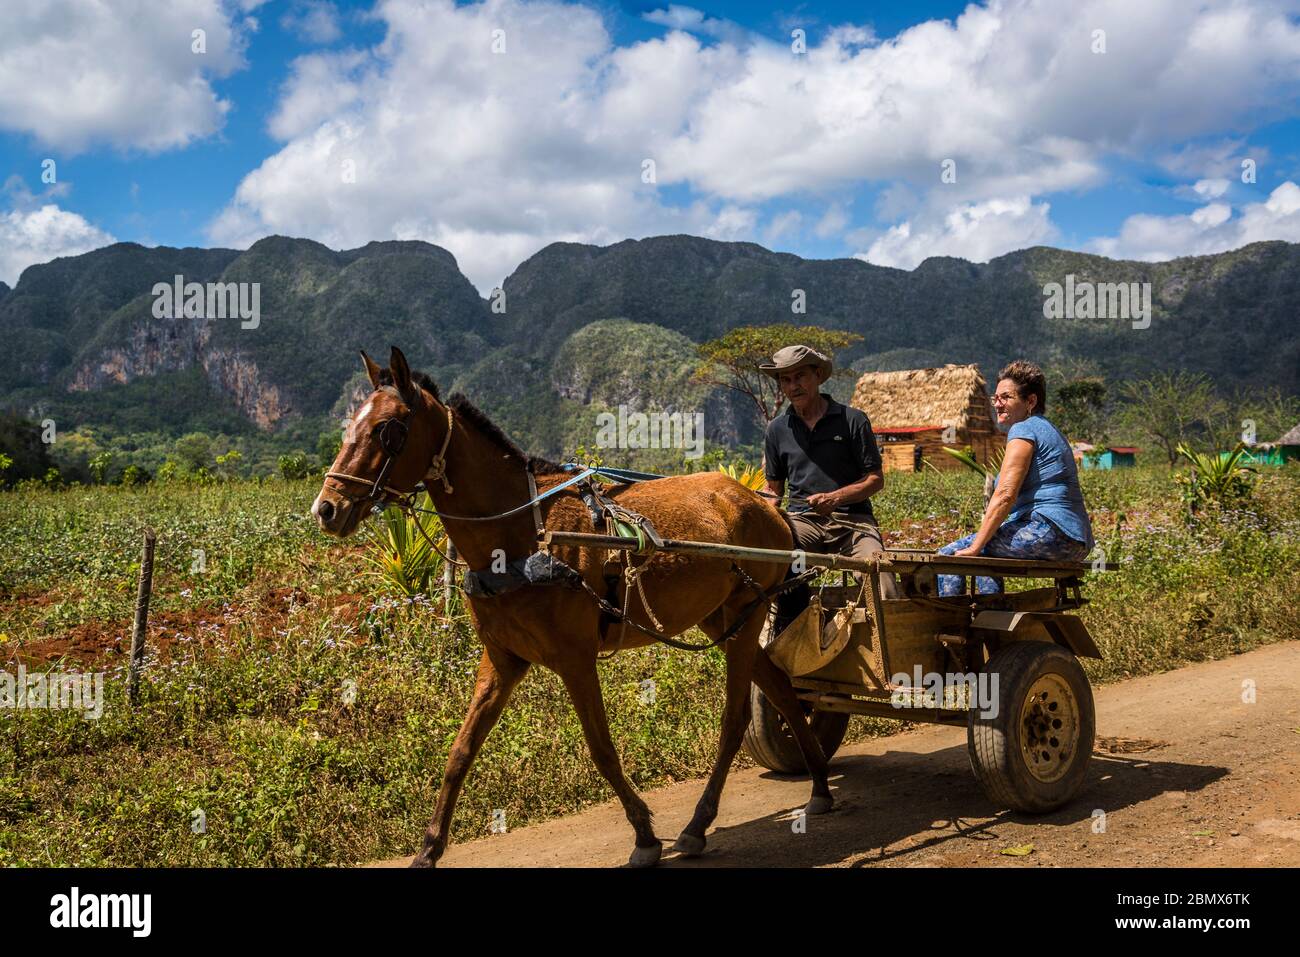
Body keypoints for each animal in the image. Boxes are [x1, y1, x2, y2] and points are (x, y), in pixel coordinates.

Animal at [311, 347, 833, 867]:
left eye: (388, 429)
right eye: (350, 425)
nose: (326, 509)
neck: (523, 537)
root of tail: (765, 505)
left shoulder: (575, 659)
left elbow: (601, 749)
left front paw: (645, 835)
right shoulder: (501, 661)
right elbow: (460, 752)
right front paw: (428, 848)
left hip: (748, 613)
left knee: (735, 719)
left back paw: (698, 824)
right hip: (719, 618)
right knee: (781, 689)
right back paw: (819, 786)